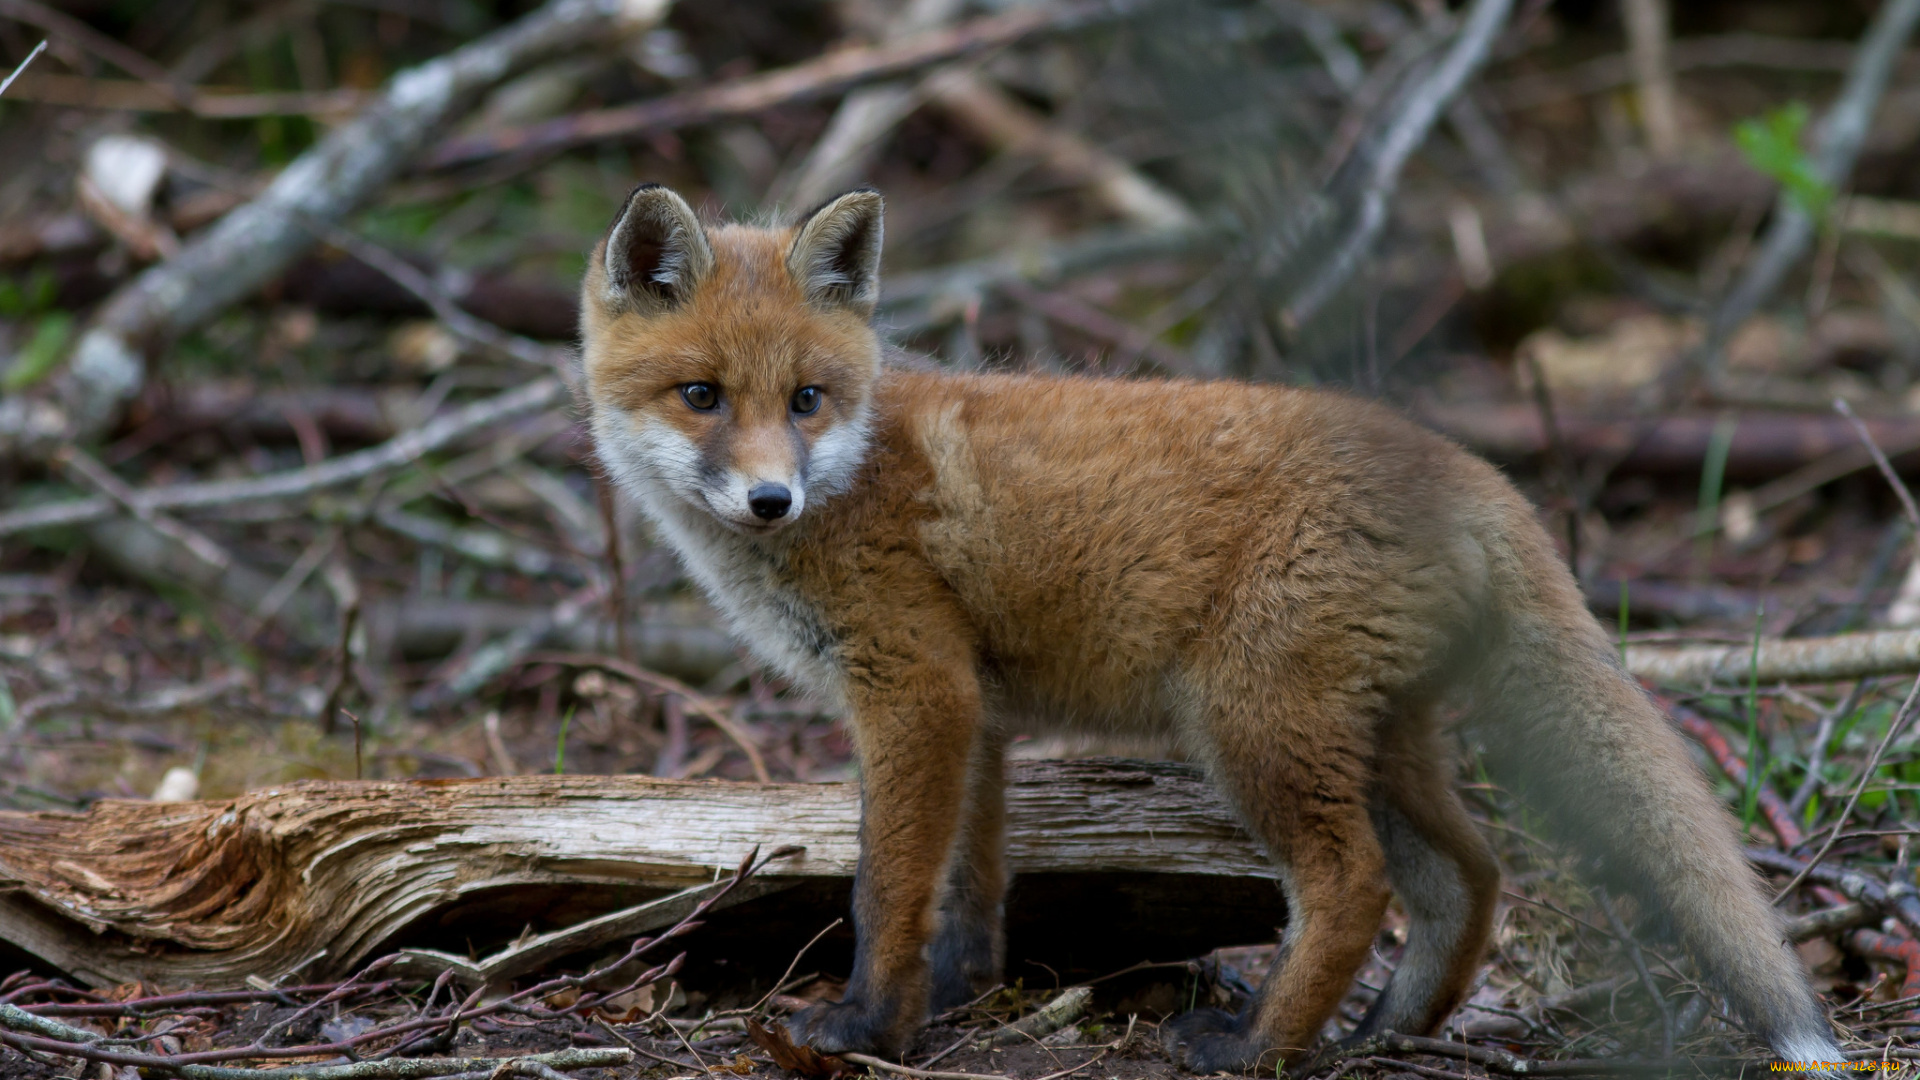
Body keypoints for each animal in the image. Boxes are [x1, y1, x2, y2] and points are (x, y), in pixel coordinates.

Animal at [572, 184, 1843, 1068]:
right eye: (701, 397)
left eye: (806, 400)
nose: (768, 499)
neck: (858, 471)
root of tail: (1476, 472)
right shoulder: (978, 711)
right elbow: (973, 880)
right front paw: (965, 992)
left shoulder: (916, 689)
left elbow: (886, 885)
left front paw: (870, 1029)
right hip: (1373, 733)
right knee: (1469, 873)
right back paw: (1387, 1029)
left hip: (1250, 722)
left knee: (1353, 885)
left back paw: (1257, 1047)